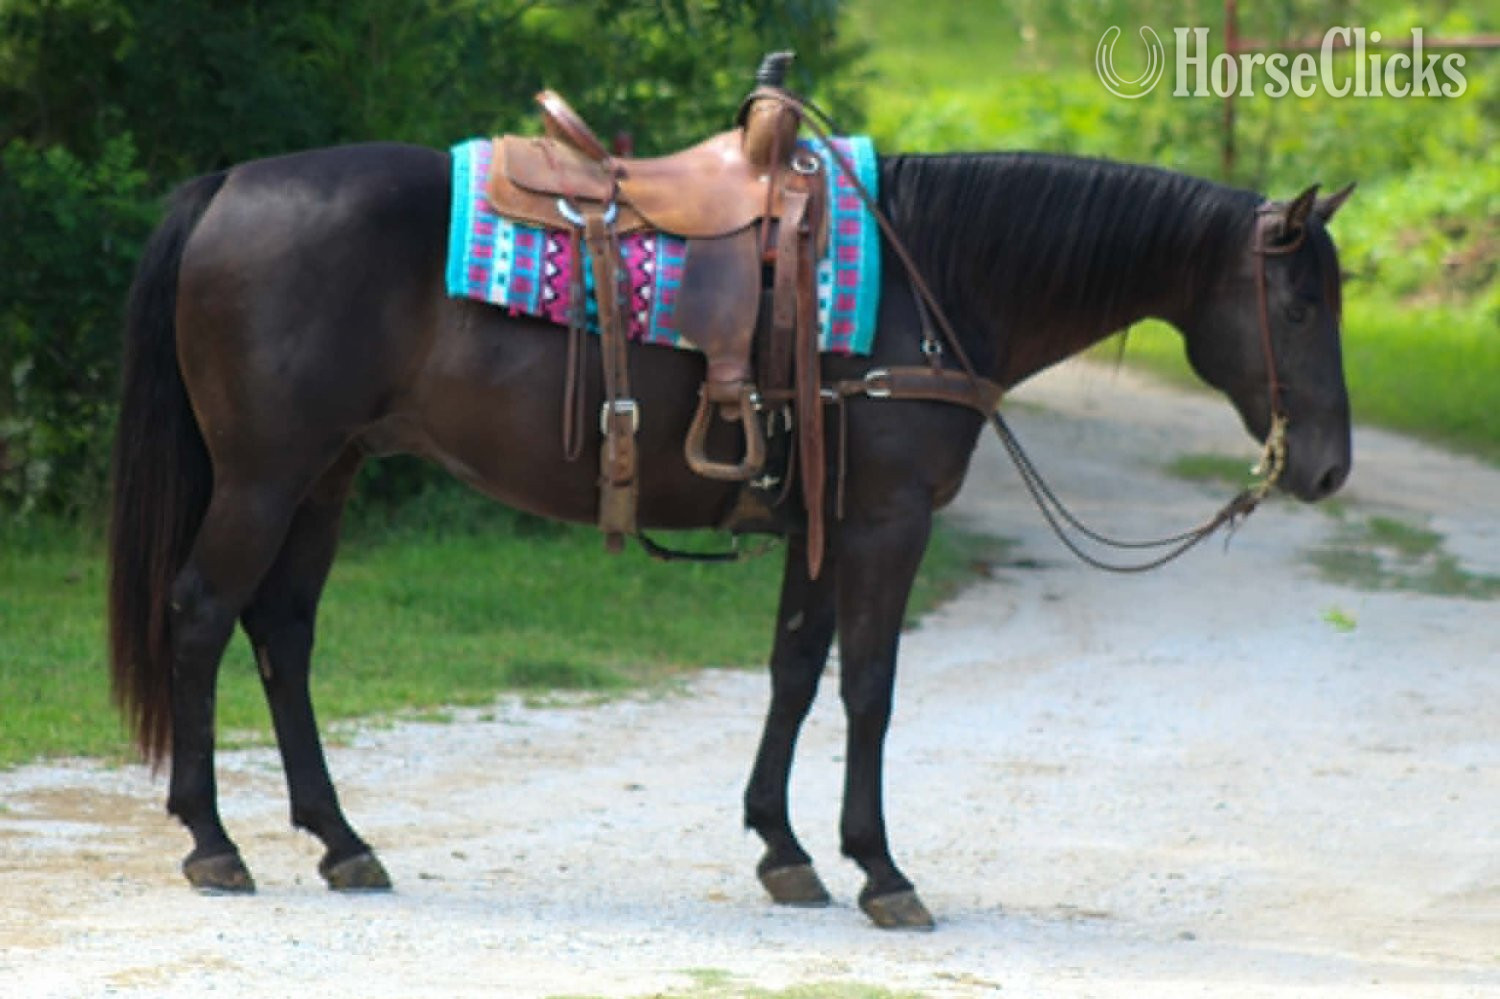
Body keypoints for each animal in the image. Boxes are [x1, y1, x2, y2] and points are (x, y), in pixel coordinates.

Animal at [107, 141, 1353, 929]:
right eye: (1300, 304)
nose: (1331, 467)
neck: (931, 282)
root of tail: (226, 186)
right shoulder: (885, 524)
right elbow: (868, 689)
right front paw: (881, 870)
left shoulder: (821, 524)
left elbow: (794, 673)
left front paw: (784, 849)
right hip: (266, 477)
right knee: (201, 617)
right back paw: (213, 842)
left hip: (326, 477)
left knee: (283, 636)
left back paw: (340, 839)